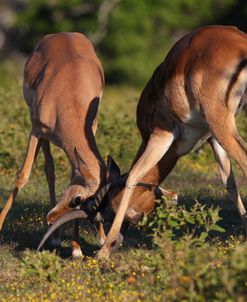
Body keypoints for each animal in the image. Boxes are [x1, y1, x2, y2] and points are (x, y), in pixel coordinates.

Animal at [36, 24, 247, 258]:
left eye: (113, 209)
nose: (117, 242)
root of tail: (239, 46)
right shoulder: (210, 137)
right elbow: (228, 182)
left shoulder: (161, 134)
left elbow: (134, 175)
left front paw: (102, 253)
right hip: (222, 126)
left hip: (220, 122)